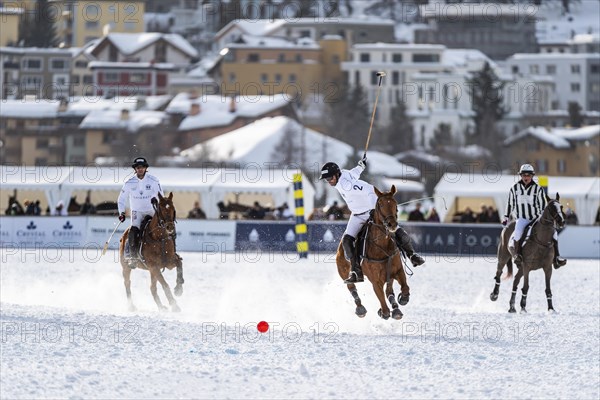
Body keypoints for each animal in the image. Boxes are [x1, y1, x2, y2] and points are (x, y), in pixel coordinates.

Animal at [336, 186, 410, 320]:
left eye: (395, 203)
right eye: (380, 204)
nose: (392, 224)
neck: (382, 246)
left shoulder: (397, 271)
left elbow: (405, 287)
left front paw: (403, 299)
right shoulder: (376, 281)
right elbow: (384, 308)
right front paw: (384, 312)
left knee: (389, 291)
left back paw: (396, 308)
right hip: (343, 272)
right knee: (351, 287)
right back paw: (360, 308)